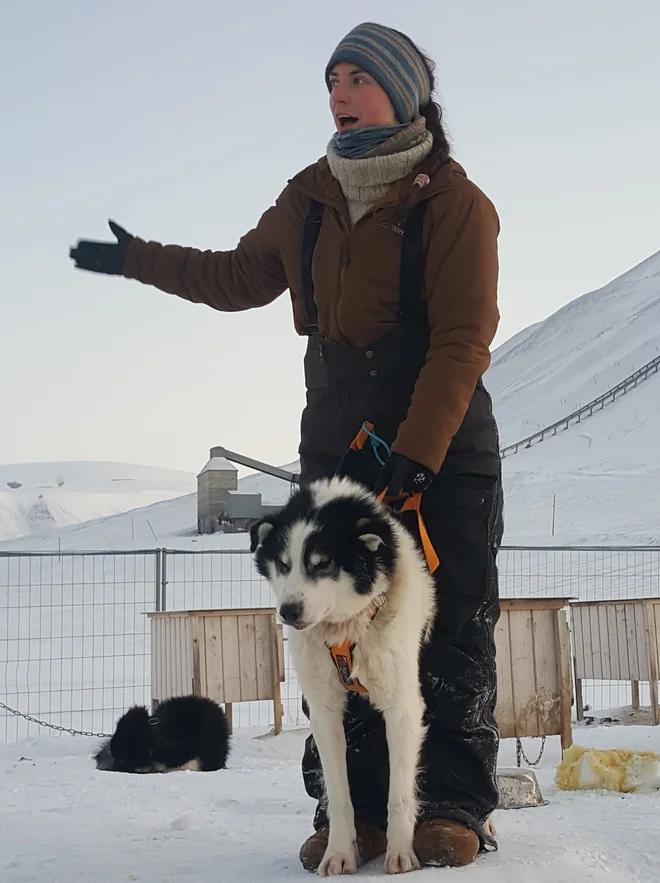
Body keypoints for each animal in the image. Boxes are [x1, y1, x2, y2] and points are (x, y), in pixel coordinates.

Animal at [250, 476, 436, 876]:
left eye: (322, 565)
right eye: (283, 564)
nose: (288, 611)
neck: (347, 631)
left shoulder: (402, 709)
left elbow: (399, 793)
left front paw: (400, 852)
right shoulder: (325, 712)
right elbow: (339, 795)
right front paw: (338, 853)